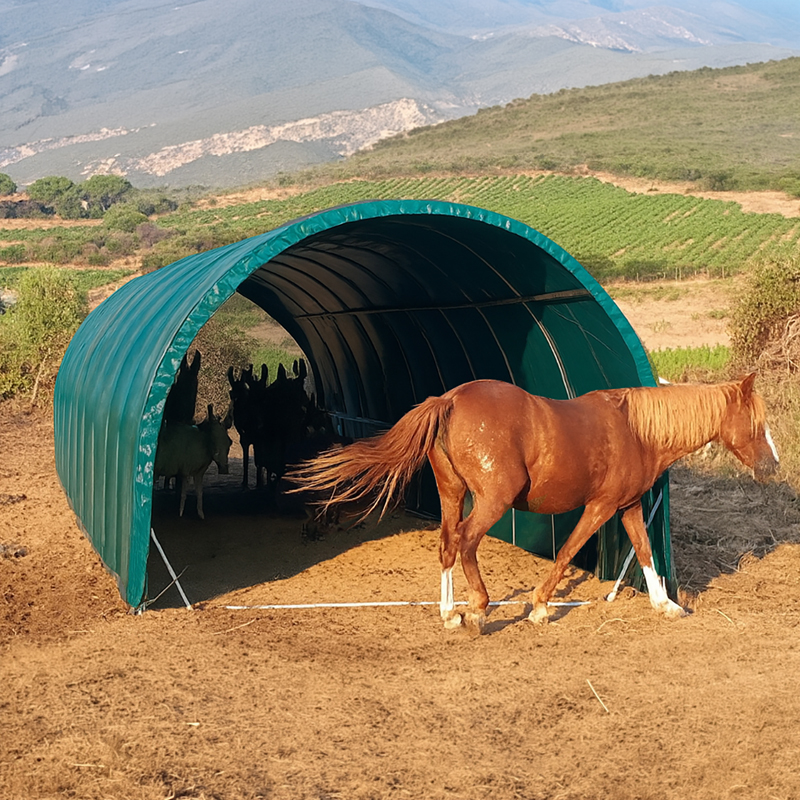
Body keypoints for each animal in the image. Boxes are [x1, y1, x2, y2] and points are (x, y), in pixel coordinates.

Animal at [288, 374, 779, 633]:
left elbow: (645, 552)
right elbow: (565, 553)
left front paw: (666, 605)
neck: (636, 430)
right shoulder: (600, 508)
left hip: (452, 494)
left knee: (447, 545)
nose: (773, 465)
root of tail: (449, 399)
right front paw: (541, 607)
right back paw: (478, 608)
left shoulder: (630, 508)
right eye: (757, 422)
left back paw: (450, 613)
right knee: (466, 542)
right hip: (491, 500)